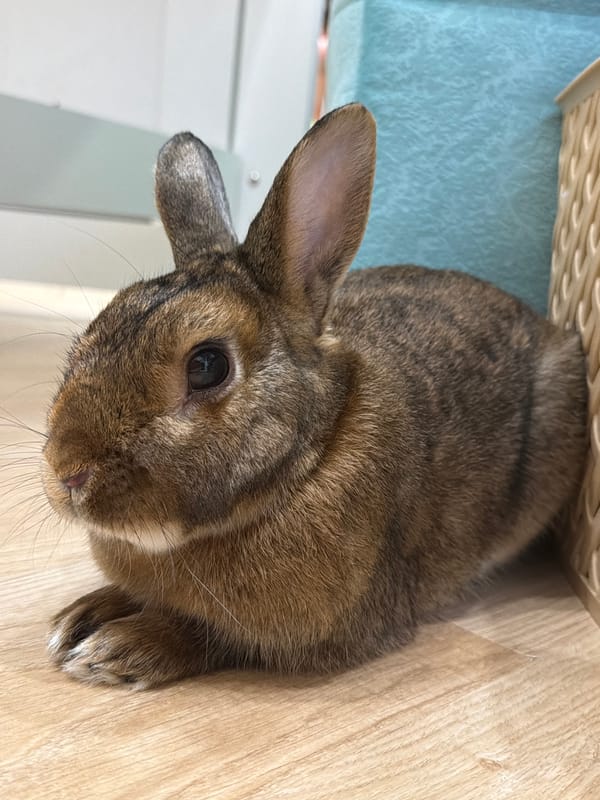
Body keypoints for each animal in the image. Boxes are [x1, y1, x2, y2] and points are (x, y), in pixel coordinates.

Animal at [44, 103, 587, 689]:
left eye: (208, 366)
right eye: (96, 327)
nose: (66, 473)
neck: (307, 461)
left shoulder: (316, 630)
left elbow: (212, 636)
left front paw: (115, 649)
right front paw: (79, 618)